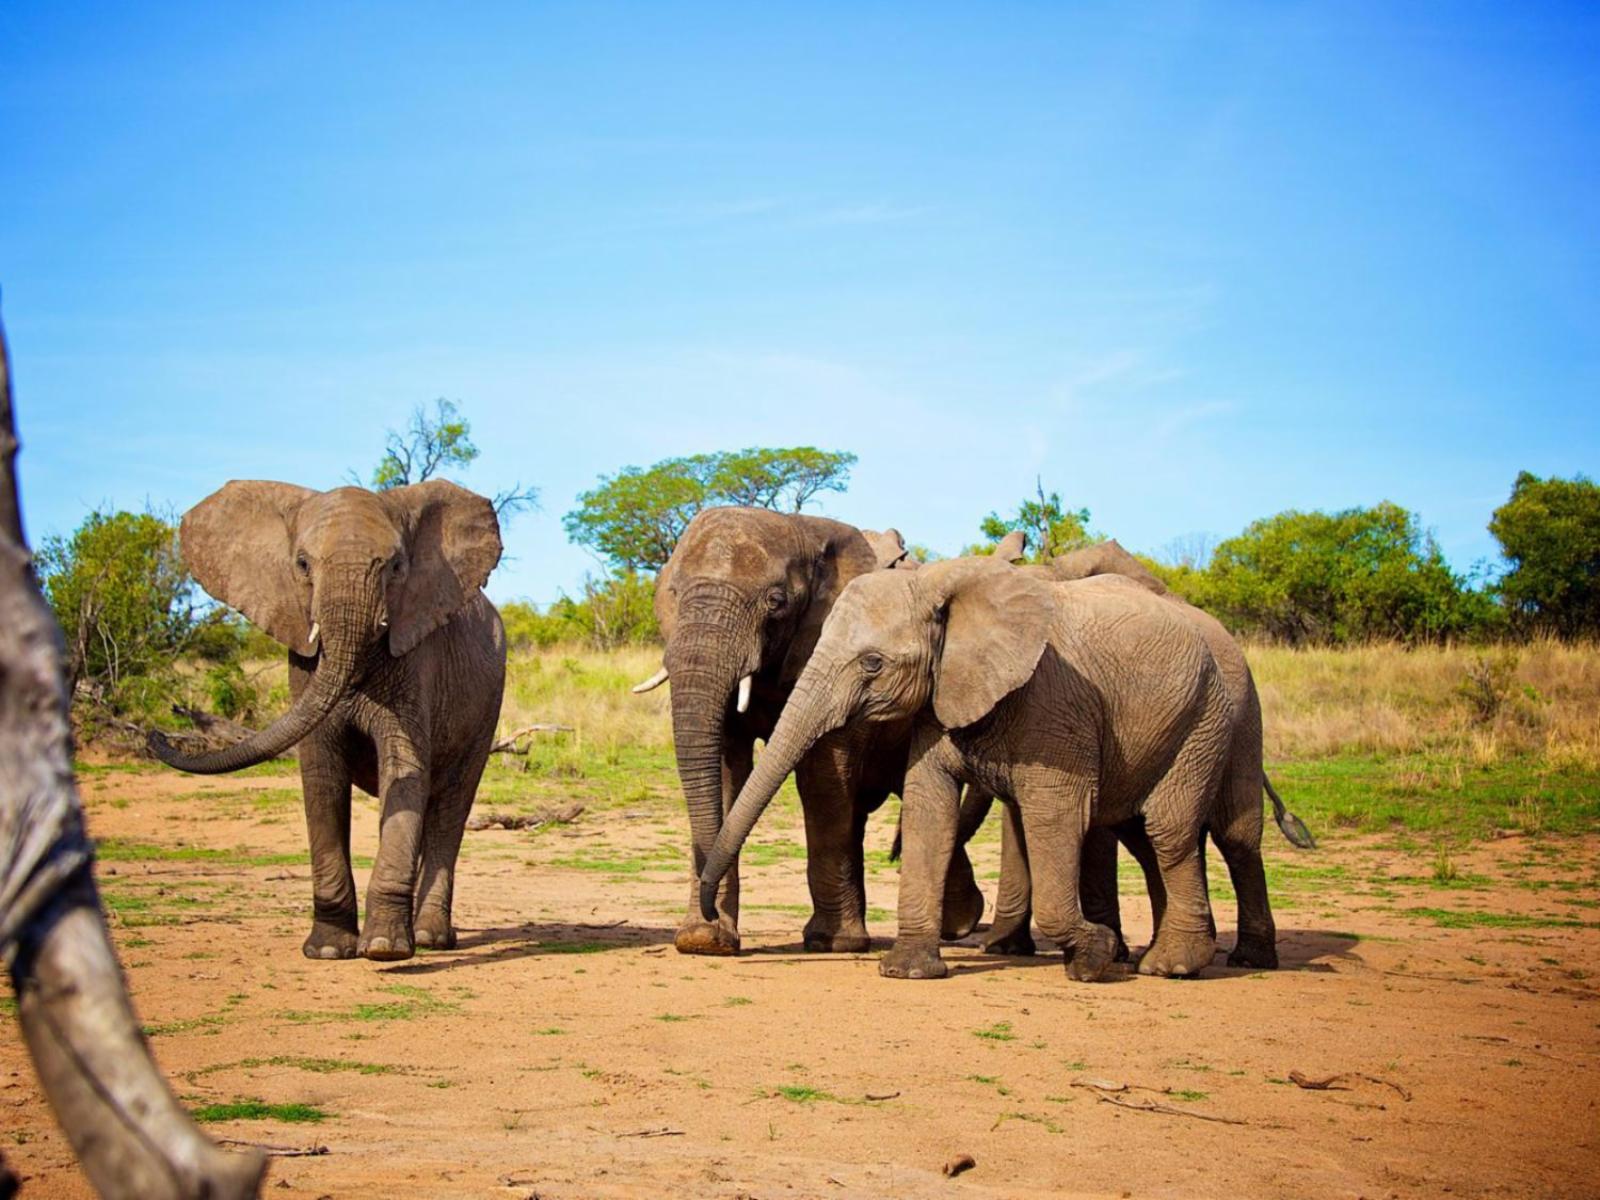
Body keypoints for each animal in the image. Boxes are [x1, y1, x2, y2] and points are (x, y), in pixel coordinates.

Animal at [148, 480, 505, 964]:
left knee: (450, 807)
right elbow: (322, 776)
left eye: (397, 566)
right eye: (302, 564)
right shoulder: (302, 660)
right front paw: (330, 949)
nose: (155, 733)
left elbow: (404, 768)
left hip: (489, 701)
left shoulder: (416, 661)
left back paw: (429, 938)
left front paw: (385, 949)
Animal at [634, 506, 985, 956]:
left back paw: (957, 925)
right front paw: (704, 940)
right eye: (673, 593)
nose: (709, 914)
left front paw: (832, 942)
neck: (800, 526)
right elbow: (726, 771)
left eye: (776, 602)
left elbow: (822, 776)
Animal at [699, 556, 1237, 982]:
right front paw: (908, 970)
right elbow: (929, 807)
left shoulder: (1057, 702)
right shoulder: (940, 697)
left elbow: (1055, 815)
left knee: (1168, 831)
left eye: (873, 663)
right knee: (1148, 835)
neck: (939, 586)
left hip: (1204, 718)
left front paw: (1093, 957)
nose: (712, 920)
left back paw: (1172, 966)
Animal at [964, 539, 1314, 969]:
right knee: (1159, 837)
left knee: (1235, 837)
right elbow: (1020, 820)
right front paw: (1005, 948)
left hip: (1242, 719)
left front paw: (1104, 949)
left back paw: (1246, 958)